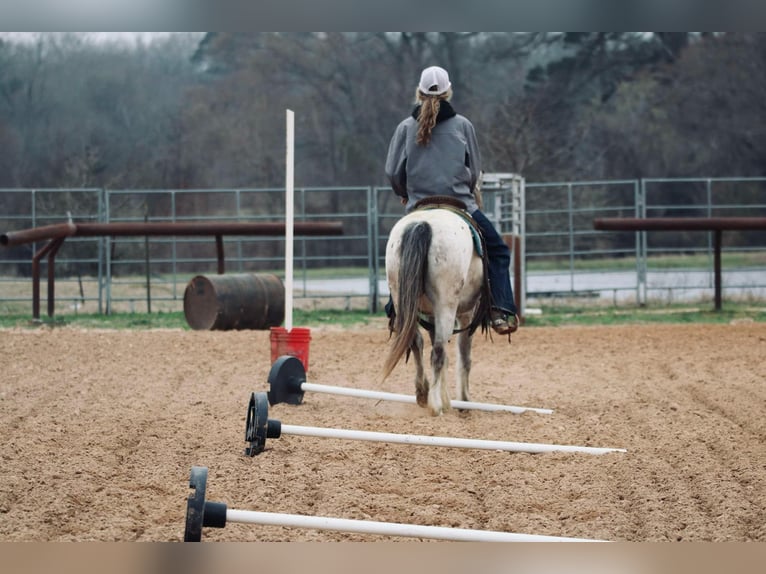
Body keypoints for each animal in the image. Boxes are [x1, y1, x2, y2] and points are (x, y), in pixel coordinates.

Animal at [382, 200, 492, 416]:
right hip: (446, 305)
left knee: (416, 342)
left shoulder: (432, 318)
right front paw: (463, 401)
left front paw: (447, 398)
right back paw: (435, 405)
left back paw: (423, 393)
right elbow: (464, 357)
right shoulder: (466, 315)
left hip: (401, 299)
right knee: (439, 351)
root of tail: (423, 224)